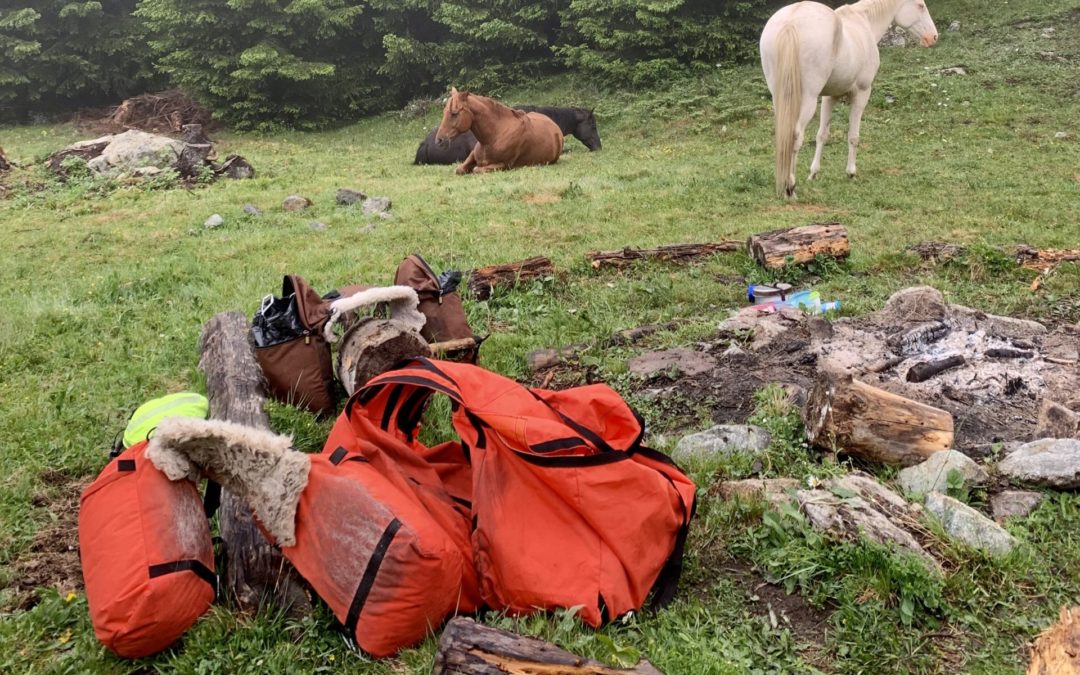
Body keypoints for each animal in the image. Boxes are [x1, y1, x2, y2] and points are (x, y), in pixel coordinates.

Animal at [760, 1, 937, 197]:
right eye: (920, 5)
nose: (933, 37)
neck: (864, 21)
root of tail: (791, 21)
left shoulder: (830, 97)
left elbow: (822, 135)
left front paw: (814, 173)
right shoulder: (862, 93)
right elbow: (853, 136)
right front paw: (851, 172)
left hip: (780, 98)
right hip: (807, 100)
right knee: (795, 136)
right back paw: (790, 187)